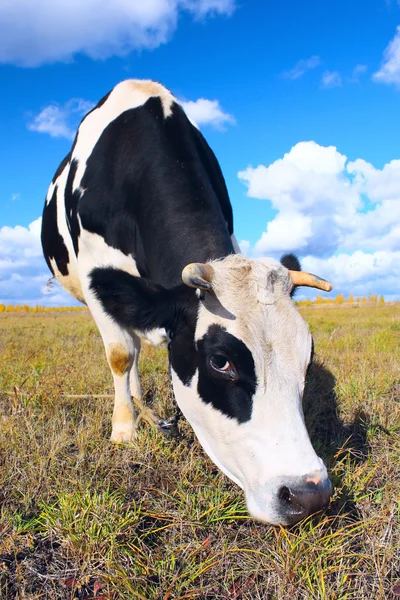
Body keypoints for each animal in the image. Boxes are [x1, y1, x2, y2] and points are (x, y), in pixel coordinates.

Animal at [41, 79, 334, 524]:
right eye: (220, 361)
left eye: (308, 356)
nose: (308, 494)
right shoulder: (96, 275)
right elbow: (119, 354)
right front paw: (124, 429)